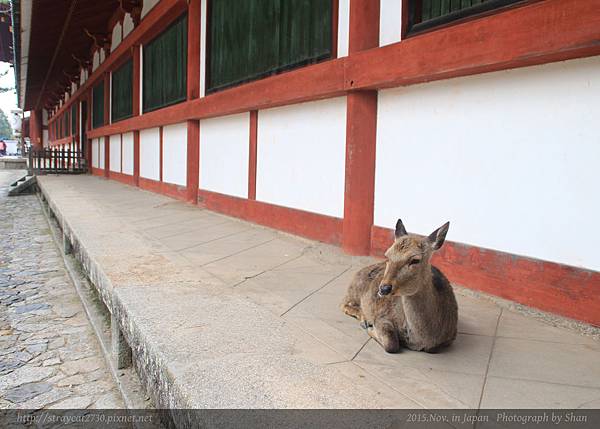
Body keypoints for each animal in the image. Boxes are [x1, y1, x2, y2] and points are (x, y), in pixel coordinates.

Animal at [340, 219, 458, 352]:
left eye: (415, 260)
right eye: (387, 255)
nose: (384, 288)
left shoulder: (450, 337)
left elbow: (432, 349)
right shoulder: (382, 316)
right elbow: (391, 344)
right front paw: (370, 328)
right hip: (354, 289)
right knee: (343, 303)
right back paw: (363, 318)